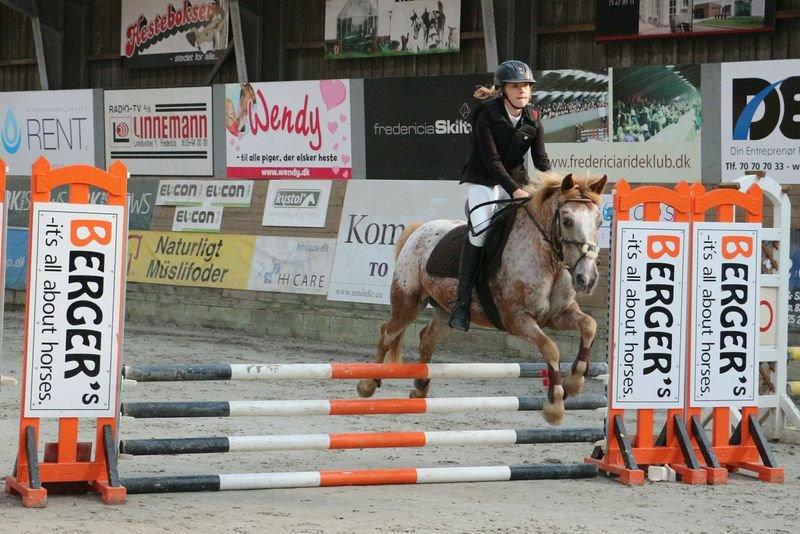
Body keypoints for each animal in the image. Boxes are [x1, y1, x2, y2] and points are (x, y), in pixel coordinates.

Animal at [356, 176, 608, 428]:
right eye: (567, 221)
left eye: (599, 221)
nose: (587, 279)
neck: (548, 261)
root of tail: (420, 229)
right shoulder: (516, 319)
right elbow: (551, 348)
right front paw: (555, 406)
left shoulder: (558, 315)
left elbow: (589, 325)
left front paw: (574, 382)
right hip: (408, 303)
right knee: (387, 332)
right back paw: (368, 384)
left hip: (446, 313)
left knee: (427, 339)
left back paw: (420, 389)